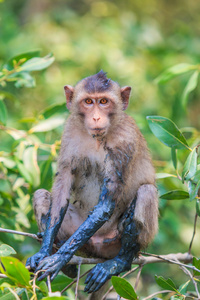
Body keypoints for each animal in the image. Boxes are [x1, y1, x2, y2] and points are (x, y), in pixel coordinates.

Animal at [26, 70, 158, 298]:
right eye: (88, 102)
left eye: (104, 101)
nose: (96, 117)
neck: (96, 138)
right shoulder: (70, 131)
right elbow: (61, 191)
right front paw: (45, 252)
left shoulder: (124, 141)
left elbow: (106, 204)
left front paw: (59, 259)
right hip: (84, 241)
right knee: (41, 194)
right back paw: (66, 261)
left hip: (114, 242)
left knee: (147, 191)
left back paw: (118, 263)